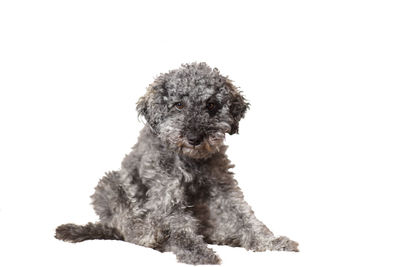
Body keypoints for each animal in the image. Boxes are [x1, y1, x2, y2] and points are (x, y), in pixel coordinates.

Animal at [57, 63, 300, 266]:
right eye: (179, 105)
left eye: (211, 104)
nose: (194, 137)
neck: (190, 160)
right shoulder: (166, 194)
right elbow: (181, 229)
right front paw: (198, 254)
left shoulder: (222, 187)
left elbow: (244, 215)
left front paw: (271, 243)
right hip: (109, 184)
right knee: (129, 226)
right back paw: (148, 233)